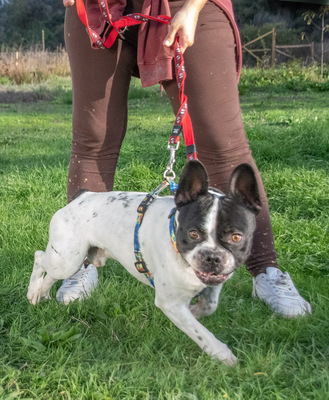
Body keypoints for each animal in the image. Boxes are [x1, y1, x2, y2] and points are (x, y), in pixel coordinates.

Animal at [26, 160, 260, 366]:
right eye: (193, 234)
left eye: (236, 237)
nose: (212, 256)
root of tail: (82, 196)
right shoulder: (170, 303)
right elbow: (201, 333)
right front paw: (222, 354)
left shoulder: (212, 283)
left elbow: (210, 304)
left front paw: (197, 310)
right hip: (66, 258)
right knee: (39, 258)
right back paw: (32, 292)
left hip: (67, 261)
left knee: (50, 275)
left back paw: (42, 294)